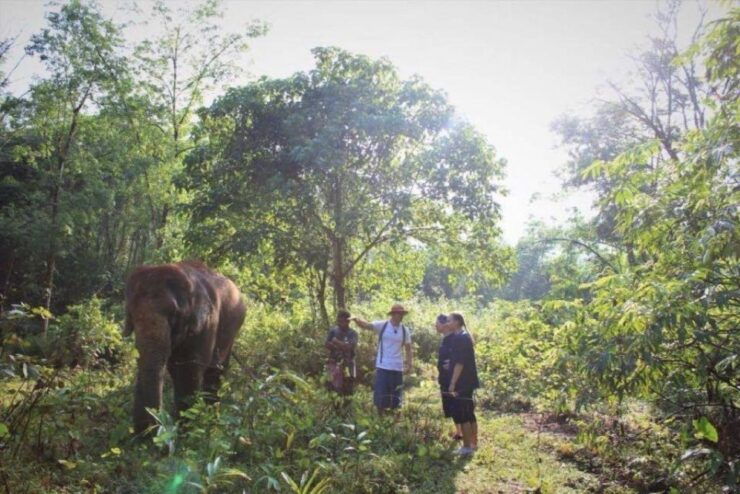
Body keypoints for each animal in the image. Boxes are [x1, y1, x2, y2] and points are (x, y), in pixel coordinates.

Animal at [124, 261, 246, 434]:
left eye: (174, 314)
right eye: (131, 314)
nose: (146, 433)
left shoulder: (207, 324)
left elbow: (190, 370)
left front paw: (185, 431)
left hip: (232, 331)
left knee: (216, 371)